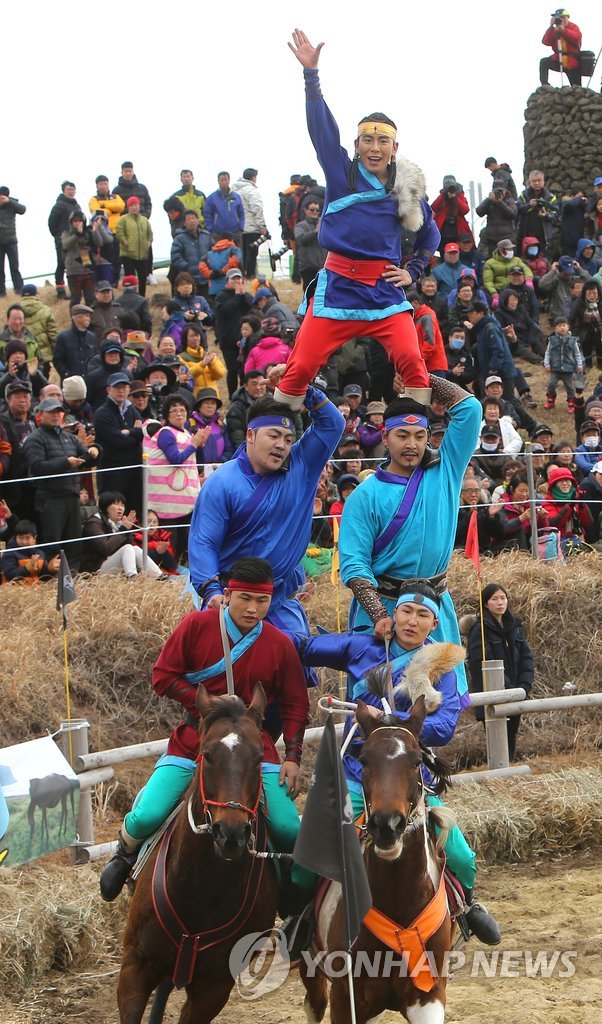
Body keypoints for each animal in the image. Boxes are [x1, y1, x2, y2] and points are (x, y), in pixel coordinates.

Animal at [117, 684, 280, 1024]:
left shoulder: (213, 989)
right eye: (207, 754)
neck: (200, 889)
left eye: (260, 758)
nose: (230, 833)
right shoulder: (134, 969)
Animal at [303, 696, 454, 1024]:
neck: (399, 904)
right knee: (313, 1002)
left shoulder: (428, 995)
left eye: (416, 762)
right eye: (364, 760)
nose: (387, 825)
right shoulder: (346, 998)